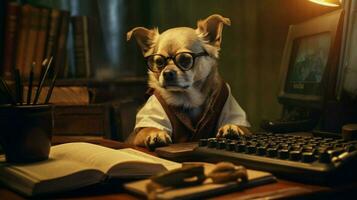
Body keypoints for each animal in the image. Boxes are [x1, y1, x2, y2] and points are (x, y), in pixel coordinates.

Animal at [126, 14, 249, 150]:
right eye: (159, 62)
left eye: (185, 59)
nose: (167, 73)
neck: (189, 99)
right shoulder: (139, 131)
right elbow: (148, 128)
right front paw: (155, 133)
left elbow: (239, 125)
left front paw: (232, 126)